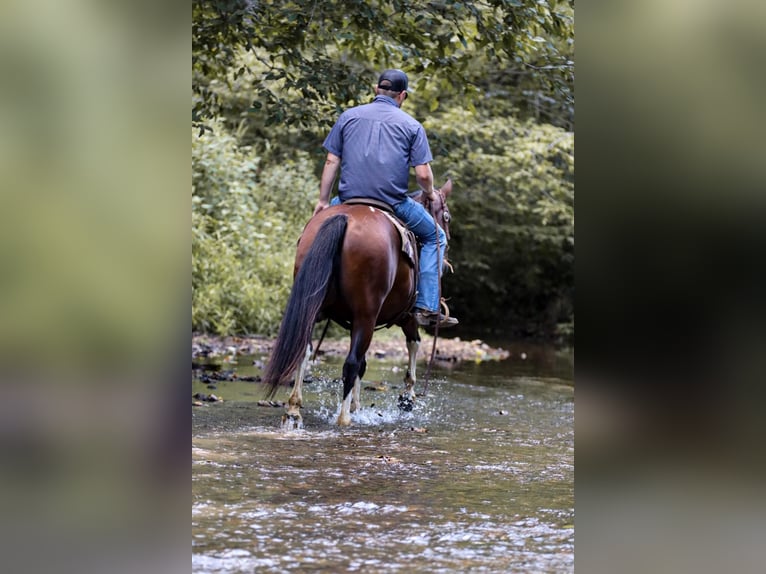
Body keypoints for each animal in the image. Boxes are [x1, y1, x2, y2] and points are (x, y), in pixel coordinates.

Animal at [264, 180, 456, 428]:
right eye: (447, 216)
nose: (446, 256)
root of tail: (344, 219)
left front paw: (358, 406)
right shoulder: (407, 317)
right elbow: (412, 345)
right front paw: (407, 398)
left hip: (313, 309)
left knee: (304, 351)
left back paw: (294, 411)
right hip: (367, 314)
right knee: (351, 362)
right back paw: (344, 418)